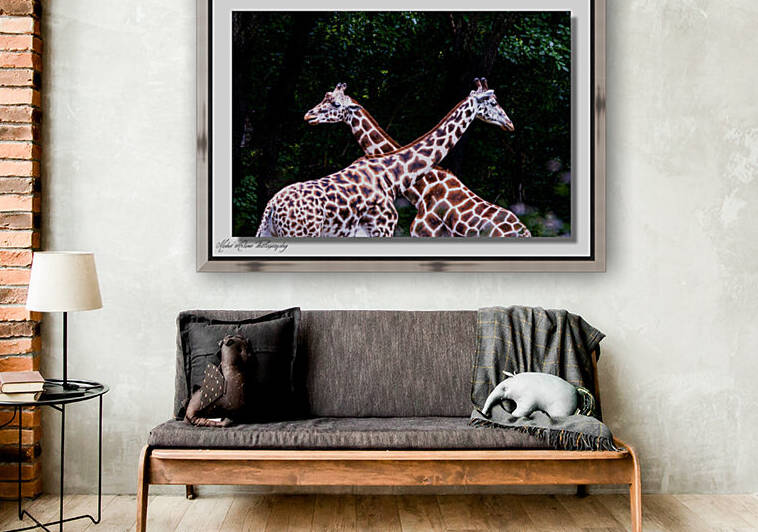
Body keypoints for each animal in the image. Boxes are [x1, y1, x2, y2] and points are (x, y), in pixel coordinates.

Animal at [256, 79, 514, 238]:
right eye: (493, 102)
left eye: (334, 102)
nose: (509, 123)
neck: (394, 174)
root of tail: (271, 208)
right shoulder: (385, 228)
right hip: (301, 232)